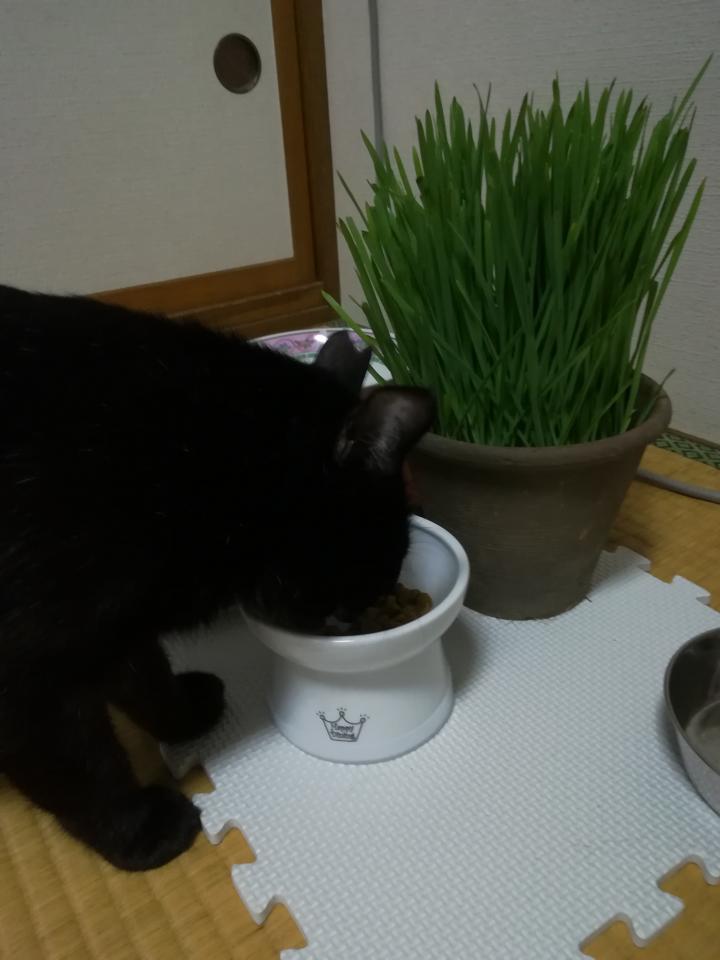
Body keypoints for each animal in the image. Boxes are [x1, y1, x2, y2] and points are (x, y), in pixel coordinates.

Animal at [0, 284, 434, 870]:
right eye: (371, 573)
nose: (355, 620)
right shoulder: (29, 667)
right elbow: (81, 767)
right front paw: (141, 829)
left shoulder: (115, 620)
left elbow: (145, 677)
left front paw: (184, 716)